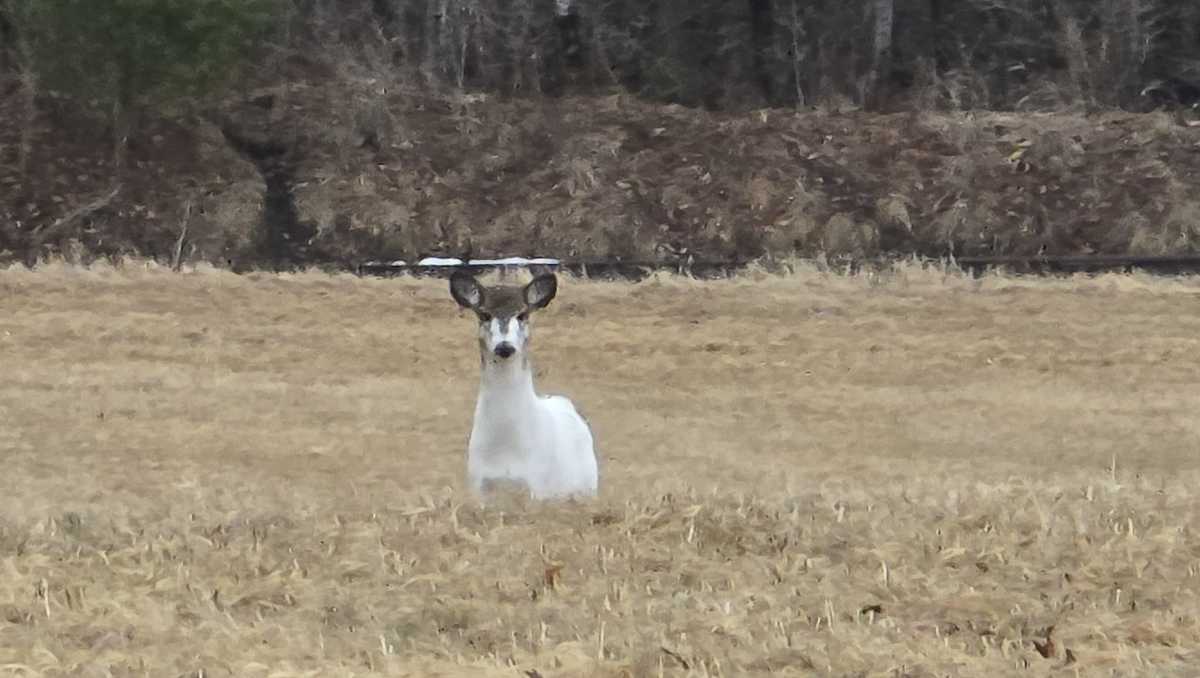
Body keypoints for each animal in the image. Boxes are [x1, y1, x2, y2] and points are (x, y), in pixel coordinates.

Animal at [448, 269, 599, 501]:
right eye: (484, 314)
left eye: (522, 314)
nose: (504, 347)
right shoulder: (477, 486)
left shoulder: (537, 487)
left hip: (588, 488)